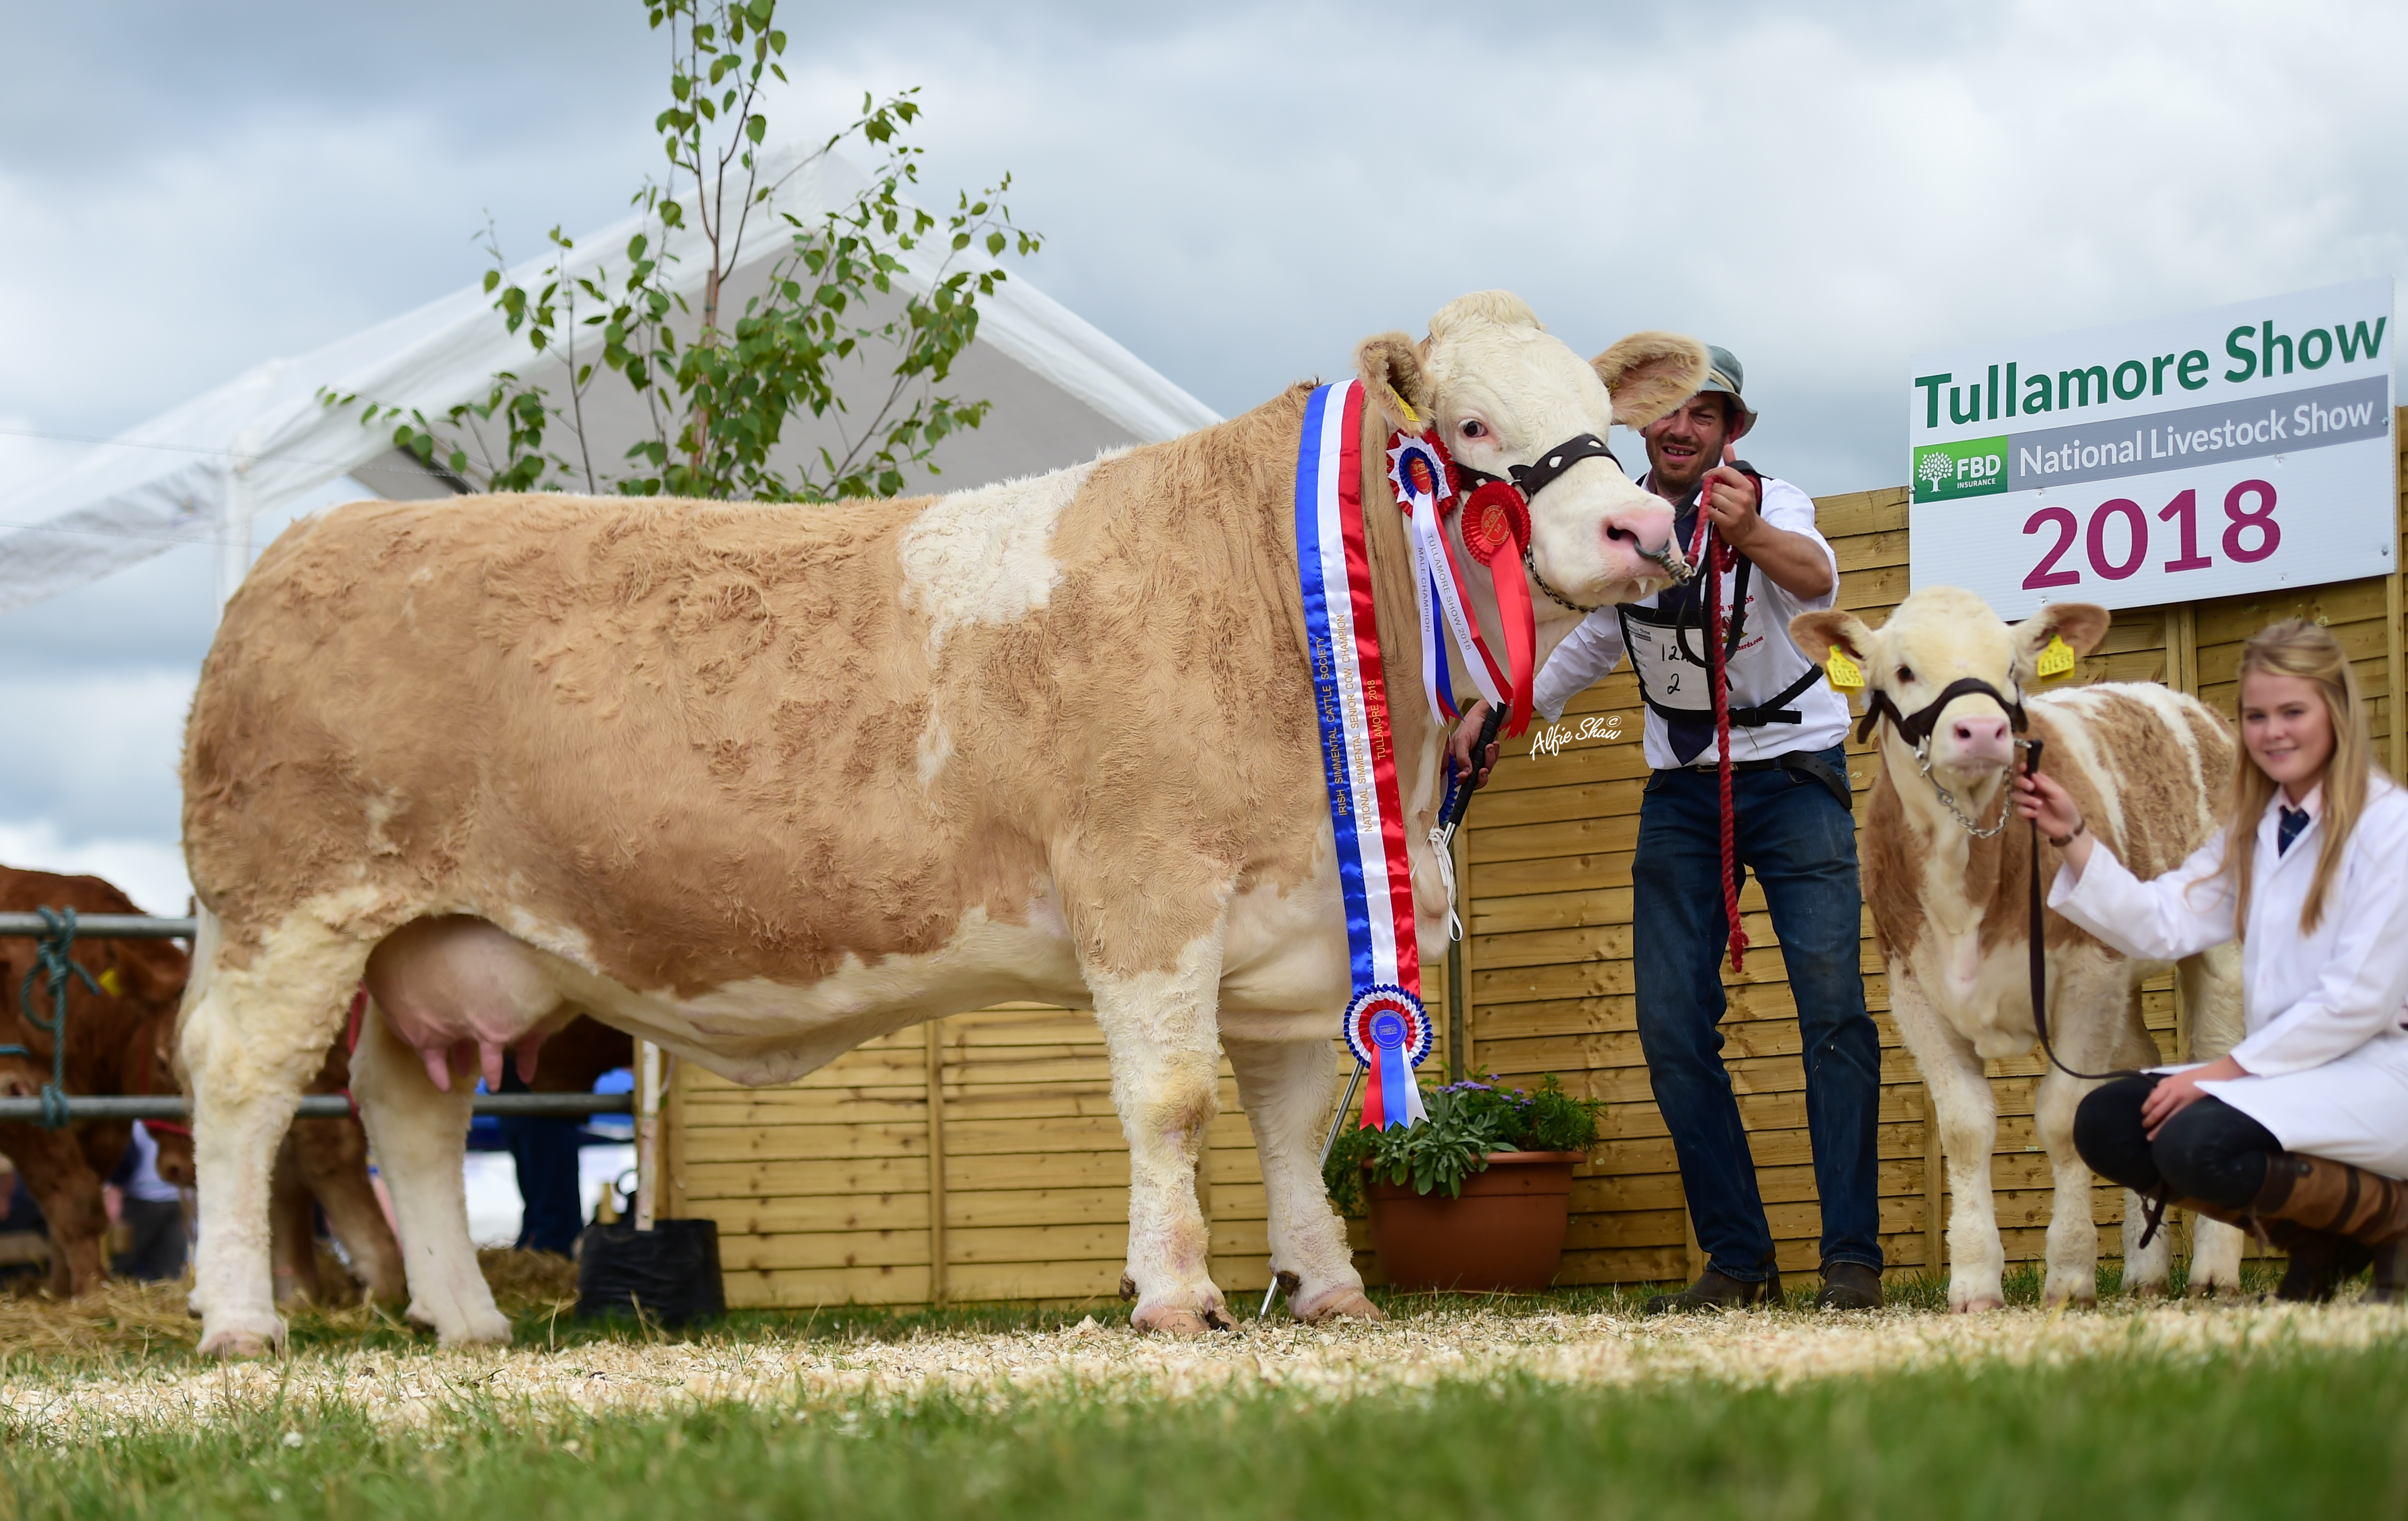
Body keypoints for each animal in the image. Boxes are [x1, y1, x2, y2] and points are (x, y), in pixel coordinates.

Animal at [178, 291, 1705, 1347]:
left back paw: (469, 1319)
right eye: (1469, 429)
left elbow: (1288, 1119)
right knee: (244, 1088)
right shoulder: (1143, 884)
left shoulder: (1301, 919)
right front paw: (1175, 1297)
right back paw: (242, 1321)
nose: (1638, 531)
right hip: (290, 908)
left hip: (443, 933)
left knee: (409, 1108)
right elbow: (1172, 1097)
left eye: (1604, 412)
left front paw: (1326, 1290)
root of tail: (300, 552)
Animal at [1782, 587, 2244, 1309]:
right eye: (1903, 671)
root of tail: (2188, 706)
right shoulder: (1913, 990)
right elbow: (1966, 1127)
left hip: (2217, 947)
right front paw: (1974, 1279)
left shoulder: (2085, 976)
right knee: (2138, 1069)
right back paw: (2143, 1270)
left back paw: (2214, 1269)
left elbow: (2062, 1117)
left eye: (2011, 671)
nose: (1981, 729)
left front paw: (2070, 1273)